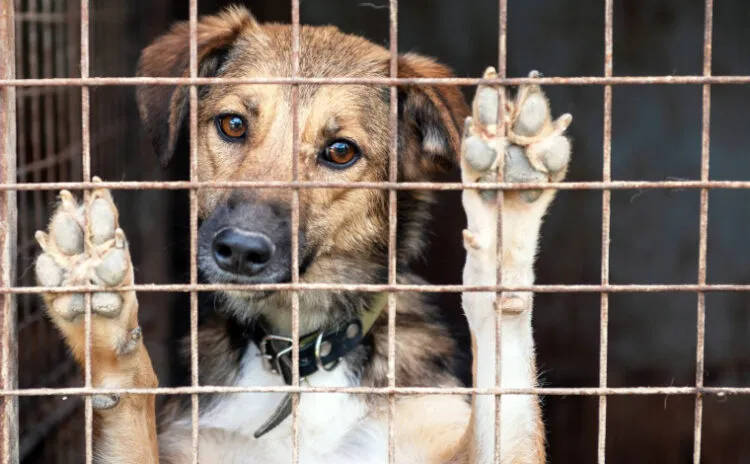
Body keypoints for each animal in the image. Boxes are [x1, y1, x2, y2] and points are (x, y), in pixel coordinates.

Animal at [35, 5, 572, 462]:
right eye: (233, 124)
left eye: (340, 151)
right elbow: (127, 399)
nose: (240, 250)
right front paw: (100, 317)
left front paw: (504, 209)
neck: (300, 356)